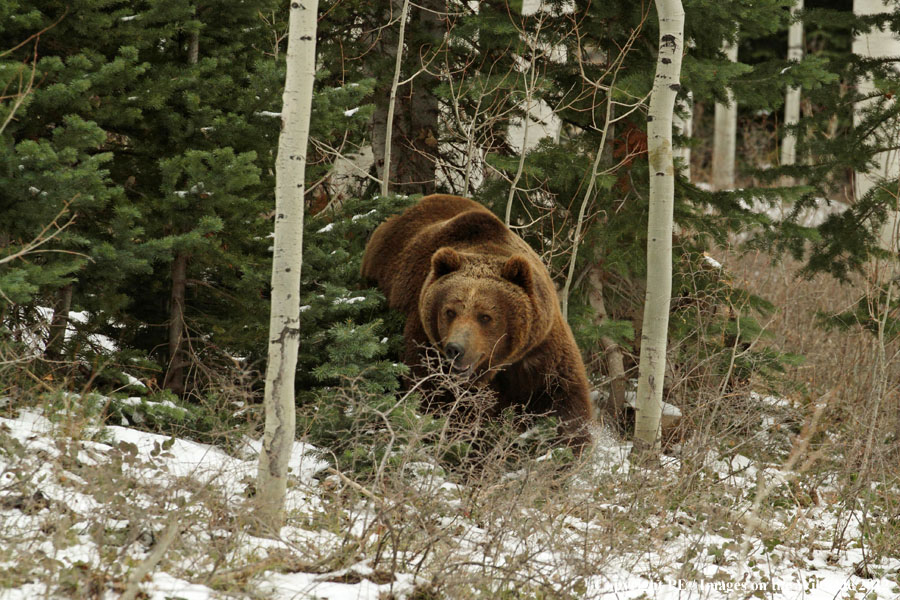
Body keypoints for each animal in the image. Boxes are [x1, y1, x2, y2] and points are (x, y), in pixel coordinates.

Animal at [362, 195, 596, 452]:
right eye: (450, 311)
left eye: (485, 316)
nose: (455, 349)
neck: (496, 366)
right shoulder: (426, 344)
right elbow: (439, 402)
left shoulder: (540, 350)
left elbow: (563, 404)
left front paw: (567, 449)